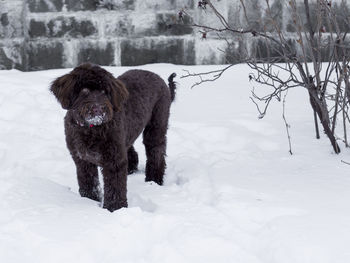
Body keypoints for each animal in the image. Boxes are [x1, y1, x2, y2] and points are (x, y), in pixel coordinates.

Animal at [50, 63, 176, 212]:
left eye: (104, 91)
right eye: (84, 90)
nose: (98, 108)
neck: (91, 129)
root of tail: (160, 79)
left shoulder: (113, 161)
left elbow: (115, 188)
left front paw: (116, 209)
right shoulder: (82, 160)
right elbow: (88, 183)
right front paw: (89, 200)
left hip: (156, 125)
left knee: (156, 152)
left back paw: (154, 180)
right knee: (131, 150)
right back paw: (131, 169)